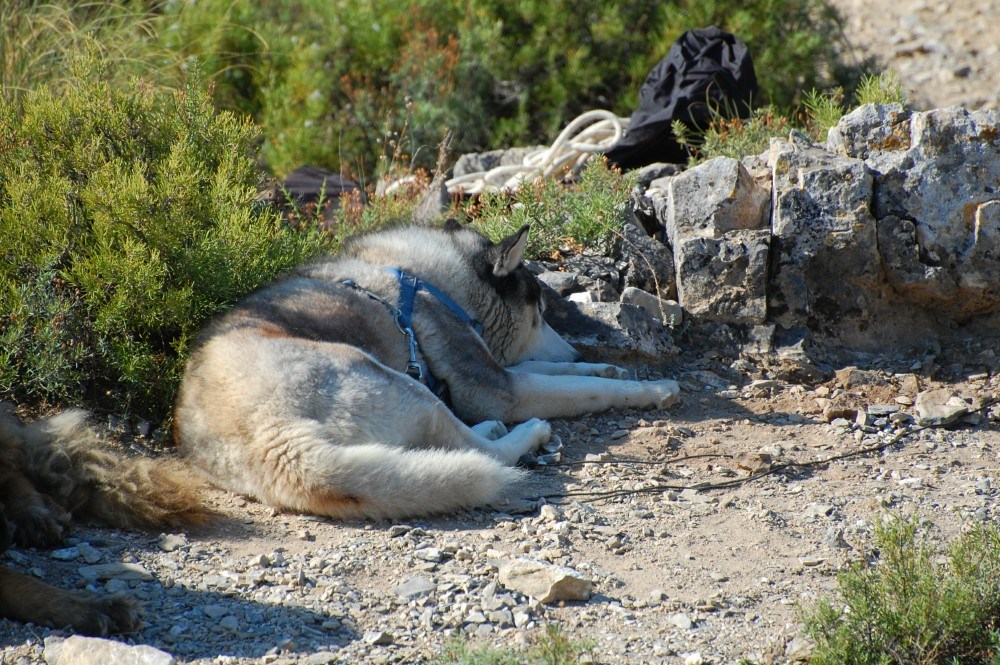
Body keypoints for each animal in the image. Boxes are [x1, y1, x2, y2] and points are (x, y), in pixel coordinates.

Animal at [178, 220, 680, 516]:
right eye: (539, 312)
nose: (574, 353)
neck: (435, 282)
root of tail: (268, 441)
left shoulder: (499, 369)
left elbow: (558, 374)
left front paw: (605, 368)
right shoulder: (495, 388)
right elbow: (571, 389)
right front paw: (653, 388)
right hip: (394, 380)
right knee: (485, 453)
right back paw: (524, 433)